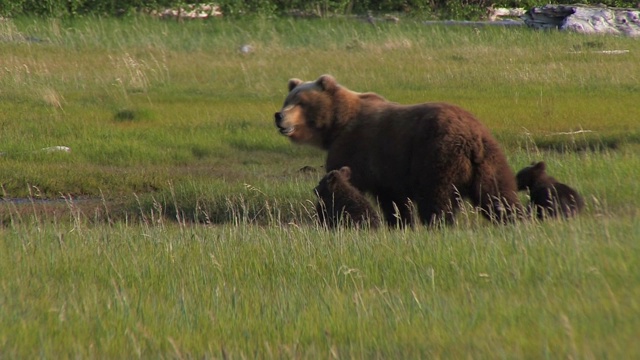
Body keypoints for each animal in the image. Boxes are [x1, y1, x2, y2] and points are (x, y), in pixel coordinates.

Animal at [274, 75, 520, 228]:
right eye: (288, 100)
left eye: (300, 102)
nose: (279, 115)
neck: (336, 124)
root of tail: (472, 137)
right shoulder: (387, 172)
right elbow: (394, 201)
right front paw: (400, 223)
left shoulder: (356, 148)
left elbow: (342, 183)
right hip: (490, 160)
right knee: (498, 194)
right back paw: (514, 219)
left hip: (437, 154)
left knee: (437, 197)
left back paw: (438, 224)